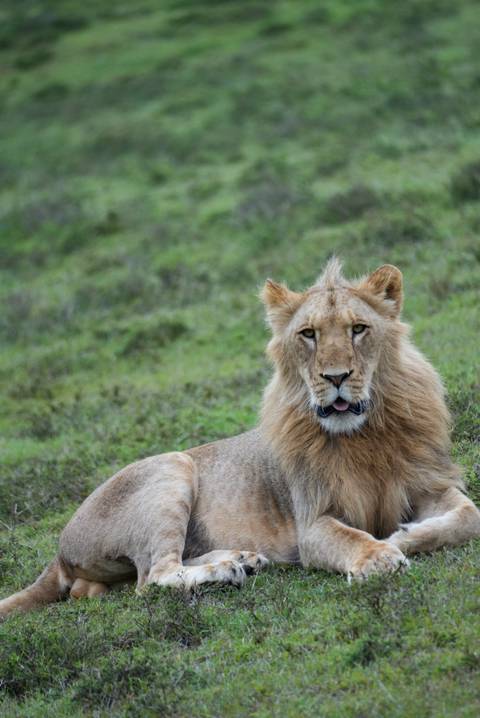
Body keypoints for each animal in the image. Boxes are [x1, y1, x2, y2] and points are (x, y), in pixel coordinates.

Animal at [1, 259, 479, 618]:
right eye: (308, 334)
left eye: (358, 328)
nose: (336, 377)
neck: (365, 436)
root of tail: (59, 548)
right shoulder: (312, 522)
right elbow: (353, 538)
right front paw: (381, 554)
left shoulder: (428, 483)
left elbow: (468, 517)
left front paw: (402, 535)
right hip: (172, 465)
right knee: (153, 577)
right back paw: (228, 571)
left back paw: (243, 559)